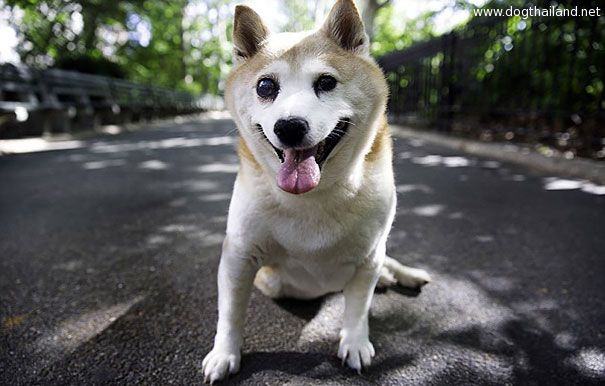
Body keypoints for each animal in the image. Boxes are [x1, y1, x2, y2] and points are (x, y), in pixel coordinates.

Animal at [203, 0, 430, 380]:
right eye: (265, 86)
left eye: (326, 82)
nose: (290, 127)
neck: (313, 197)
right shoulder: (240, 255)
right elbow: (231, 313)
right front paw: (224, 353)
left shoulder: (369, 255)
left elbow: (358, 308)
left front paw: (354, 342)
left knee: (387, 262)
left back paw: (401, 275)